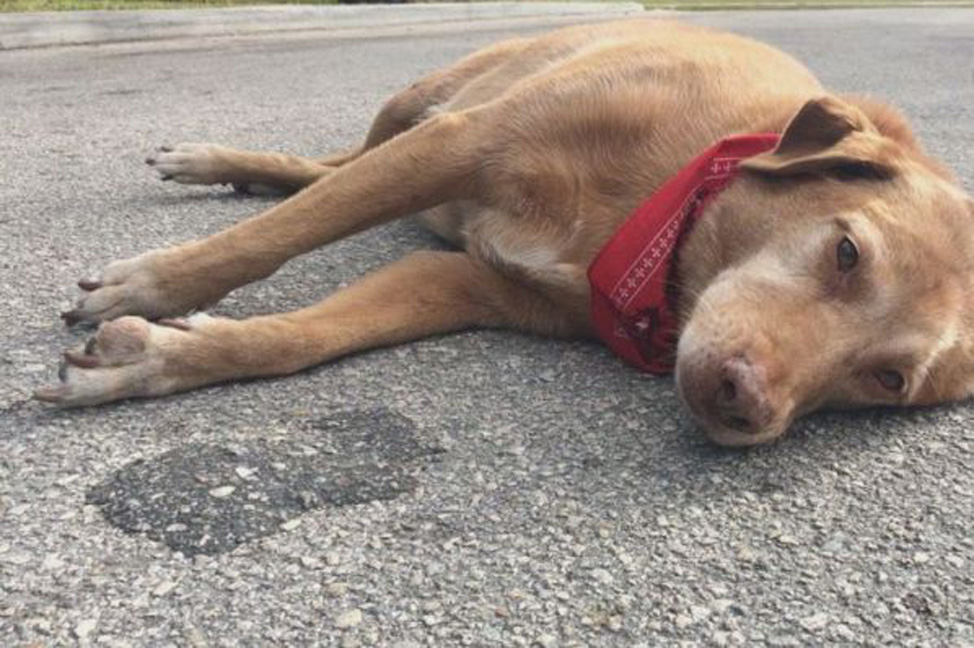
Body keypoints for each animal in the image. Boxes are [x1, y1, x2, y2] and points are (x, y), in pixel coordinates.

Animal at [32, 19, 974, 446]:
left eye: (887, 378)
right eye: (847, 254)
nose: (747, 407)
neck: (661, 218)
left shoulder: (461, 284)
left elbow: (301, 339)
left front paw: (156, 357)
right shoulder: (462, 141)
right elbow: (277, 236)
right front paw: (153, 284)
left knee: (329, 175)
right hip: (422, 100)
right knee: (328, 171)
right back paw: (223, 163)